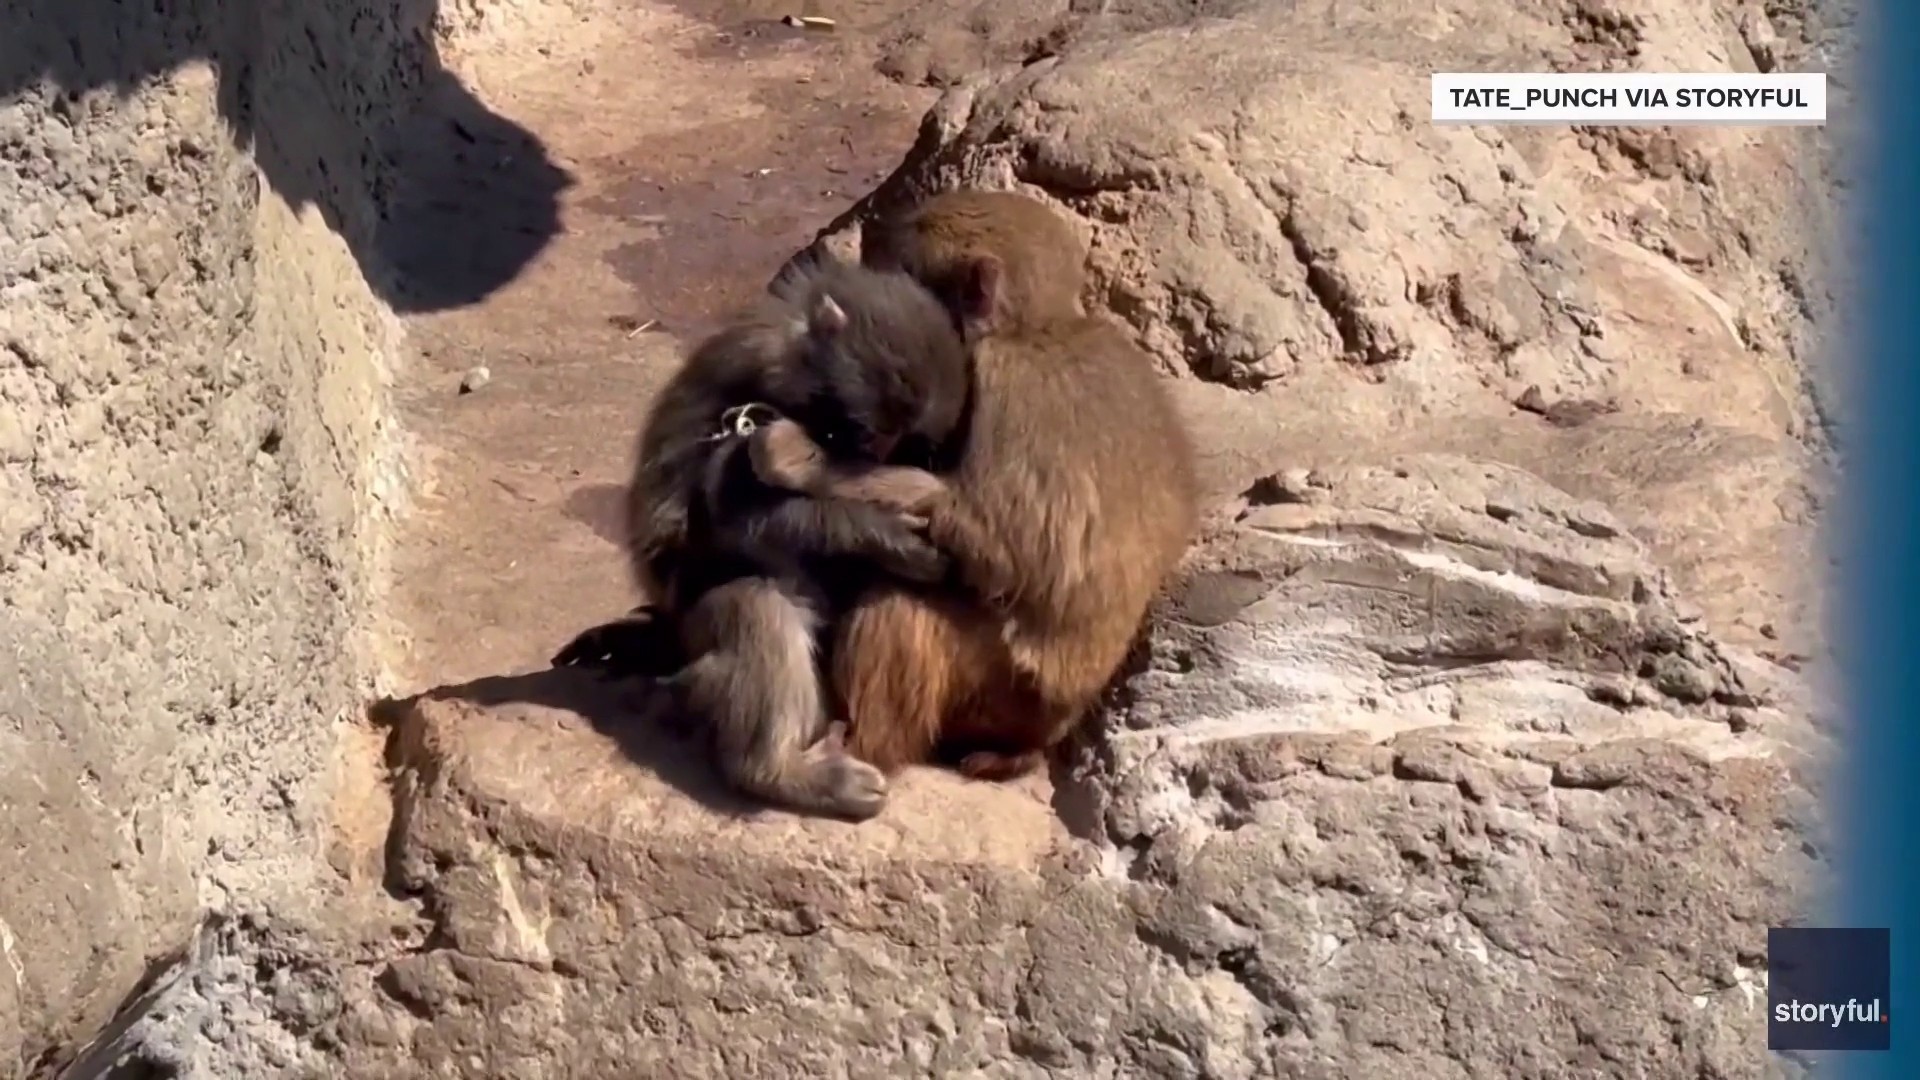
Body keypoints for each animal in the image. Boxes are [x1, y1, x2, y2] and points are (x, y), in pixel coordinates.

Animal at [554, 258, 973, 819]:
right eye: (868, 433)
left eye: (905, 443)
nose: (874, 458)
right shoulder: (743, 390)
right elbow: (724, 517)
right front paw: (882, 534)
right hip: (695, 625)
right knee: (755, 604)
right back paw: (778, 772)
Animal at [755, 189, 1202, 783]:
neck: (1036, 326)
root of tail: (1047, 730)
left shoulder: (1008, 379)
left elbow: (1003, 547)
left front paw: (795, 456)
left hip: (1001, 688)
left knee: (901, 605)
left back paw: (861, 749)